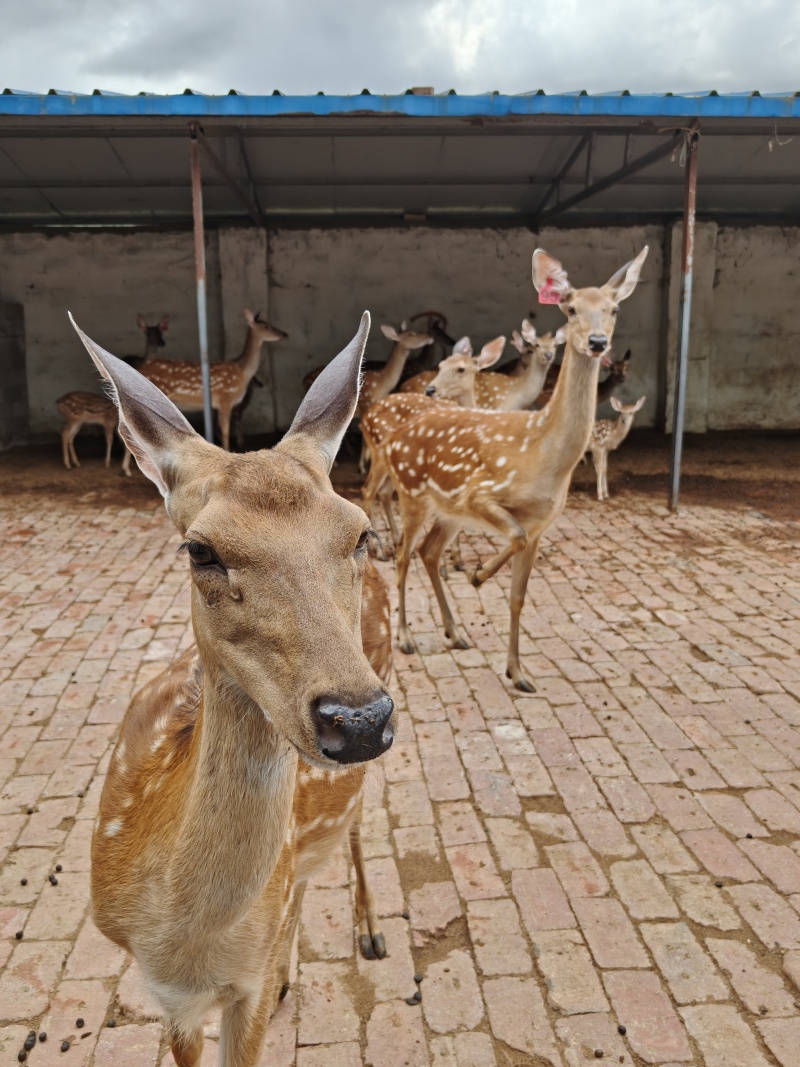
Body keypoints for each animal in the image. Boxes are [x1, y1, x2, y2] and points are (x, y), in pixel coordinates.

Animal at [385, 245, 648, 691]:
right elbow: (515, 535)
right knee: (404, 555)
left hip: (447, 512)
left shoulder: (540, 525)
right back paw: (405, 638)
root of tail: (394, 437)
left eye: (613, 308)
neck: (543, 456)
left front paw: (518, 673)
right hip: (412, 492)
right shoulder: (481, 496)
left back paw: (456, 633)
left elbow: (518, 595)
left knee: (428, 552)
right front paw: (477, 574)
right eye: (571, 308)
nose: (598, 342)